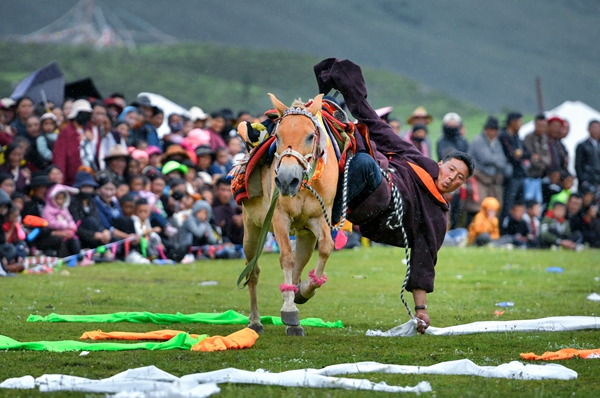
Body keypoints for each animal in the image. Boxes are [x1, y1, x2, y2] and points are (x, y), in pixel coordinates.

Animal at [241, 94, 340, 336]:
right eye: (278, 135)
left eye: (310, 135)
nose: (286, 180)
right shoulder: (279, 217)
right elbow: (286, 257)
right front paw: (289, 310)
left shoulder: (319, 218)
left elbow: (326, 248)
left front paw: (304, 291)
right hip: (252, 229)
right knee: (253, 271)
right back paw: (255, 321)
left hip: (305, 234)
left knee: (300, 263)